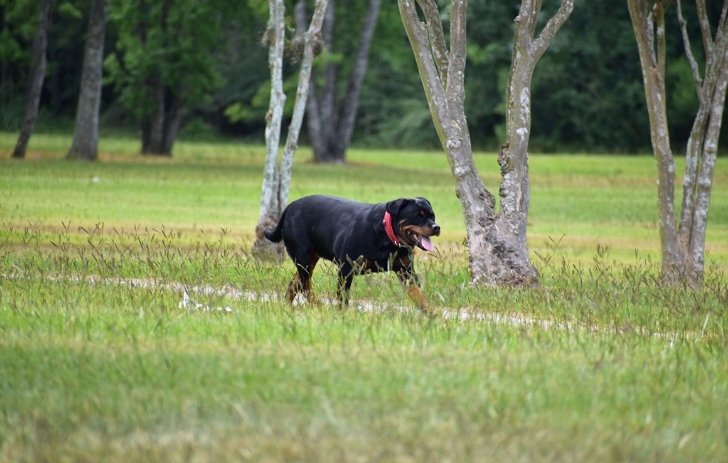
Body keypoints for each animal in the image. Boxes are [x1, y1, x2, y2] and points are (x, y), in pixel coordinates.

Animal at [264, 194, 440, 314]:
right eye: (418, 216)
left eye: (432, 215)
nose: (436, 227)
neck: (388, 236)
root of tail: (289, 207)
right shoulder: (346, 269)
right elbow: (343, 297)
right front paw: (343, 315)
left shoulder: (407, 272)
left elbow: (420, 296)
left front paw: (433, 314)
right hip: (303, 257)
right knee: (305, 286)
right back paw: (317, 305)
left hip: (309, 259)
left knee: (295, 283)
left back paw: (286, 307)